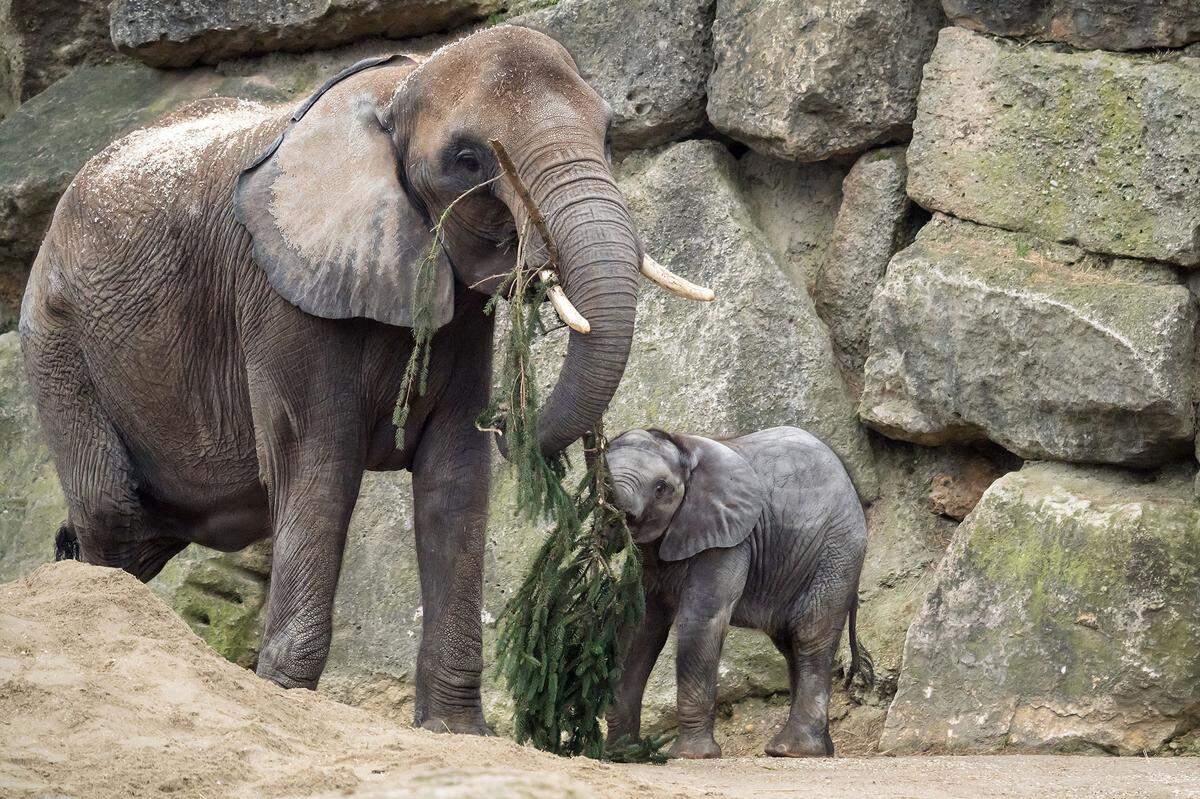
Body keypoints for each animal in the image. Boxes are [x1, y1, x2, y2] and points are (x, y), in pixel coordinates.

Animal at [18, 28, 700, 729]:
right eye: (468, 159)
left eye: (610, 134)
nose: (514, 422)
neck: (400, 87)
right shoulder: (281, 295)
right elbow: (320, 469)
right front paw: (286, 699)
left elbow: (455, 479)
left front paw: (454, 730)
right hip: (56, 340)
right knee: (113, 511)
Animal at [604, 427, 868, 758]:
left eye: (661, 488)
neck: (685, 449)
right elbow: (640, 628)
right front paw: (620, 753)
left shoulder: (728, 538)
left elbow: (701, 619)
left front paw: (693, 756)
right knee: (791, 644)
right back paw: (817, 750)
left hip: (836, 551)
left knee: (810, 634)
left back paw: (791, 750)